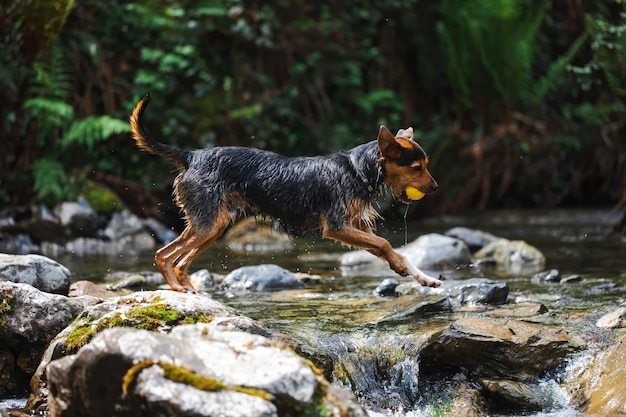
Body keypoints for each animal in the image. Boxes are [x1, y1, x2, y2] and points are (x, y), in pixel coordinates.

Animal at [128, 93, 438, 292]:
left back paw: (188, 289)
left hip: (215, 225)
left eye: (426, 165)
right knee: (164, 254)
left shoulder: (357, 227)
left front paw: (423, 278)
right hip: (207, 223)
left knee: (181, 262)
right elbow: (385, 244)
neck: (357, 170)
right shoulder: (337, 227)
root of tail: (192, 156)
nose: (435, 188)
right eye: (416, 167)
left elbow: (392, 250)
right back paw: (178, 289)